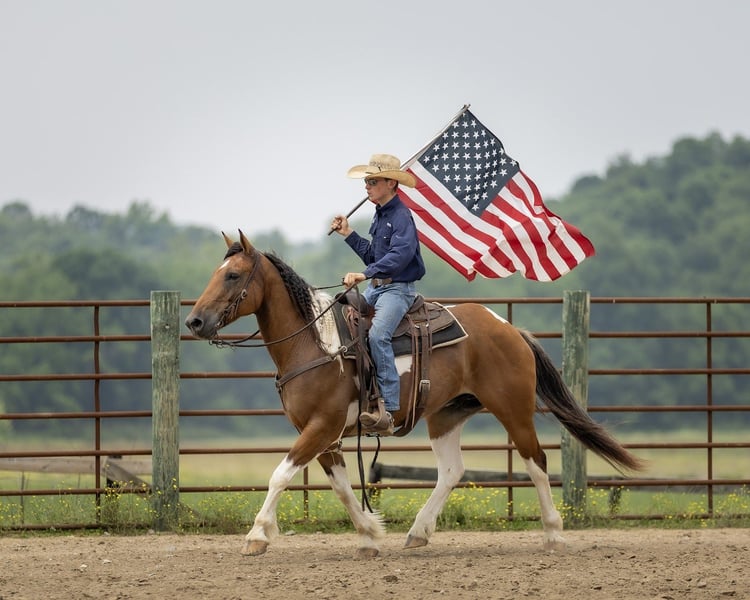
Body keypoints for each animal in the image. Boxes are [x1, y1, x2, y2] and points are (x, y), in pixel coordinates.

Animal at [185, 230, 643, 558]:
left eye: (231, 275)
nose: (195, 321)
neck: (316, 343)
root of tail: (510, 329)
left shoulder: (321, 427)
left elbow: (280, 474)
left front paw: (257, 535)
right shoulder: (324, 435)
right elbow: (341, 487)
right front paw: (369, 535)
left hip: (512, 410)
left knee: (537, 463)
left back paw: (553, 534)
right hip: (446, 415)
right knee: (452, 471)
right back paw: (418, 532)